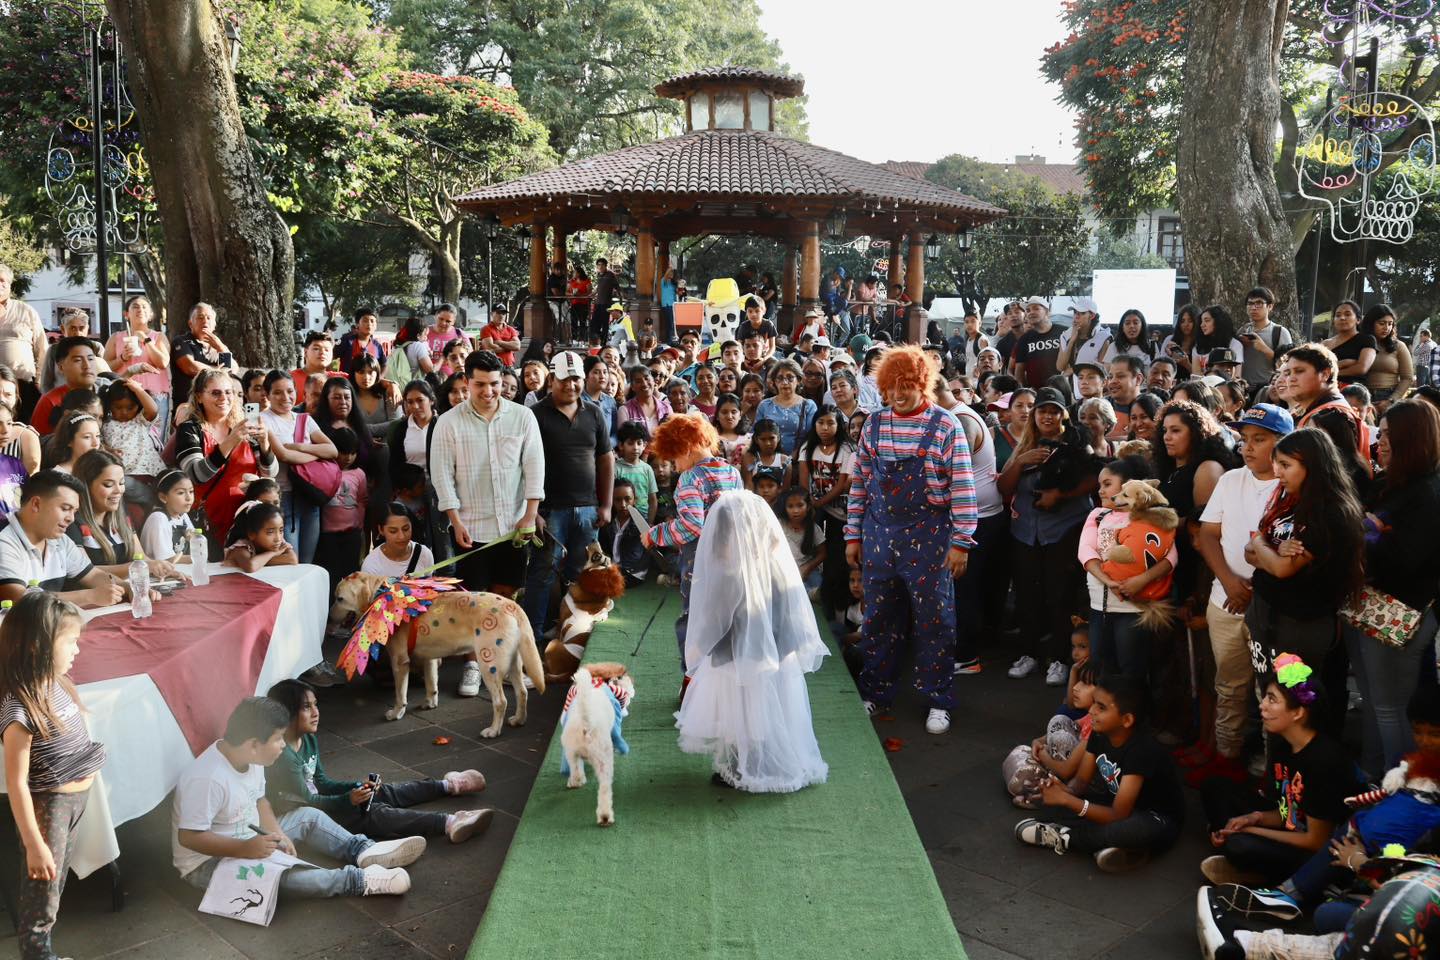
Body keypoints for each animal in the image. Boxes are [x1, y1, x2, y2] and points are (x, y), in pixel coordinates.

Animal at [329, 569, 544, 736]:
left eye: (339, 599)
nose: (329, 617)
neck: (380, 593)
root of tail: (512, 605)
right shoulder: (430, 659)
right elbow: (432, 684)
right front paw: (430, 703)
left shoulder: (400, 662)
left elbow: (400, 695)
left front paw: (396, 713)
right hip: (514, 664)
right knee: (522, 692)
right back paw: (519, 720)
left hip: (489, 665)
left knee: (501, 701)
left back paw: (493, 731)